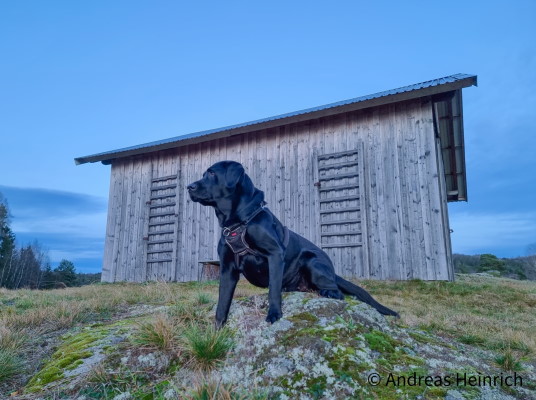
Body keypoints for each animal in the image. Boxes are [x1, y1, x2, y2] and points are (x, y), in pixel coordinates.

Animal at [188, 159, 398, 324]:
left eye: (212, 173)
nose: (189, 187)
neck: (238, 221)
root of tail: (333, 272)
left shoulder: (274, 254)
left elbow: (273, 289)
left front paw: (274, 314)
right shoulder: (227, 268)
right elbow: (222, 304)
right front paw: (217, 332)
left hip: (312, 261)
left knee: (337, 291)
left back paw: (328, 293)